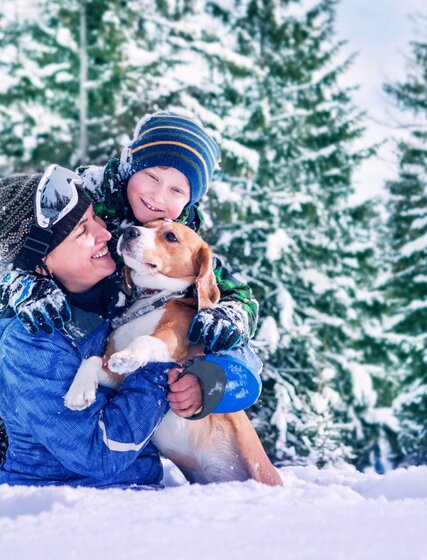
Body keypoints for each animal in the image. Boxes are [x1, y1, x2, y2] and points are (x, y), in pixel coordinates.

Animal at [65, 219, 282, 486]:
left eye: (170, 236)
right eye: (147, 225)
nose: (130, 231)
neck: (153, 299)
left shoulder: (173, 340)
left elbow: (145, 340)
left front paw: (128, 356)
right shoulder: (118, 378)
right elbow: (93, 359)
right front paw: (78, 392)